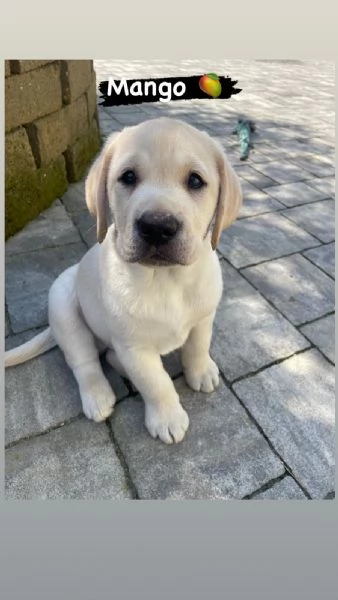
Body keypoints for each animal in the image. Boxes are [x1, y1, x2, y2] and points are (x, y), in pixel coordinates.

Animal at [5, 118, 243, 446]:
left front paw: (200, 371)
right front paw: (168, 418)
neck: (166, 280)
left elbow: (198, 346)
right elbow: (156, 383)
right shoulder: (133, 347)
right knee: (85, 360)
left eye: (195, 181)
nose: (157, 227)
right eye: (128, 177)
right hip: (63, 304)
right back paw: (98, 396)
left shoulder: (203, 317)